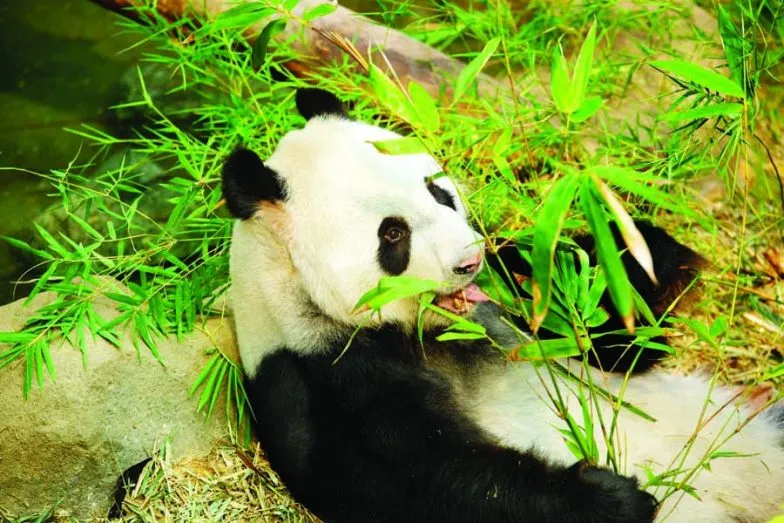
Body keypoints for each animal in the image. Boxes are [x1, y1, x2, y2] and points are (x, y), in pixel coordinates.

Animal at [222, 87, 784, 523]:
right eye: (393, 235)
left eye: (439, 192)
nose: (470, 261)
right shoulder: (322, 377)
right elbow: (431, 482)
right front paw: (615, 497)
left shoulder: (512, 305)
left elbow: (611, 344)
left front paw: (635, 247)